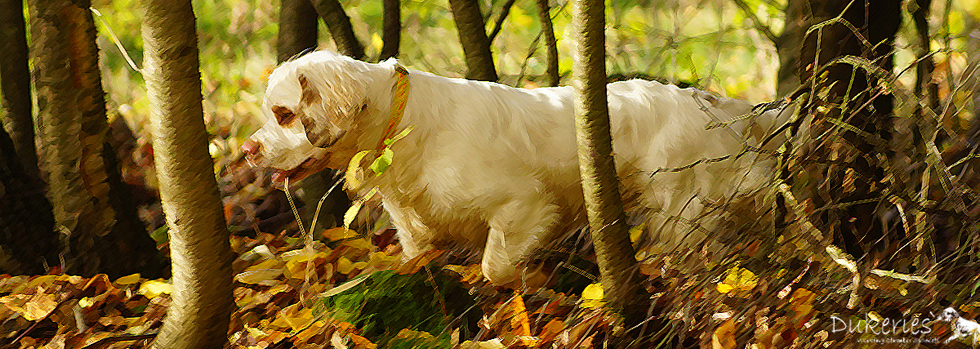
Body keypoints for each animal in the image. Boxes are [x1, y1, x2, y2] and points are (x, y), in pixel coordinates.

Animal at [243, 51, 780, 286]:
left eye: (284, 113)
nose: (247, 150)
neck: (406, 127)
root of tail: (714, 104)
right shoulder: (416, 231)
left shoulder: (524, 205)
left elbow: (494, 265)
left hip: (681, 213)